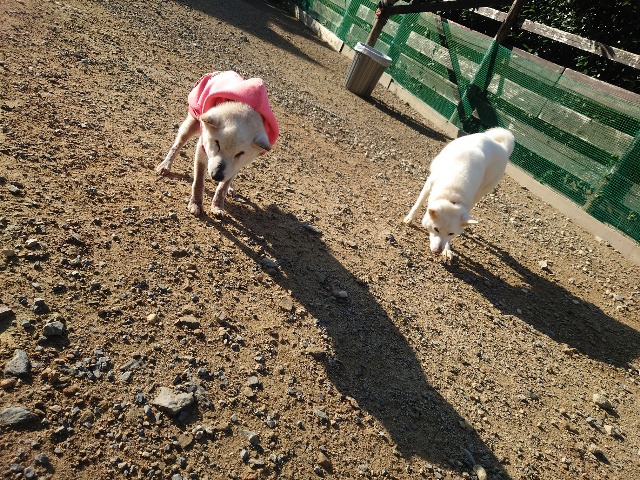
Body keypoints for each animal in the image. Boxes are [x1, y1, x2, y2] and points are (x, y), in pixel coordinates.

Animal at [156, 71, 279, 216]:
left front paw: (218, 206)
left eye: (240, 153)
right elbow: (198, 182)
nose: (216, 176)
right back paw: (165, 165)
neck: (244, 108)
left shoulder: (238, 164)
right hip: (192, 121)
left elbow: (222, 187)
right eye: (217, 144)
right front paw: (195, 204)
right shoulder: (202, 149)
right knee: (176, 146)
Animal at [403, 127, 515, 260]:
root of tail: (502, 147)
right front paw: (409, 218)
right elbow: (418, 204)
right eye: (436, 229)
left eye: (451, 233)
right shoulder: (429, 184)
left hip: (482, 191)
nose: (437, 251)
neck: (452, 196)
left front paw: (447, 249)